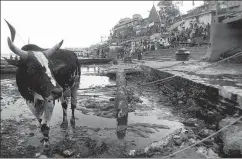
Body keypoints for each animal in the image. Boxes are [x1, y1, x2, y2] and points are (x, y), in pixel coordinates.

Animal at [4, 20, 81, 150]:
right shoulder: (29, 101)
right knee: (64, 104)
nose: (57, 91)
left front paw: (46, 146)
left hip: (75, 84)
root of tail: (72, 53)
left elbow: (45, 126)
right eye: (31, 67)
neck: (34, 92)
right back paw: (64, 122)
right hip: (63, 89)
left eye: (52, 66)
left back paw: (72, 120)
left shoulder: (49, 101)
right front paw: (45, 140)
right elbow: (41, 123)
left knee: (73, 104)